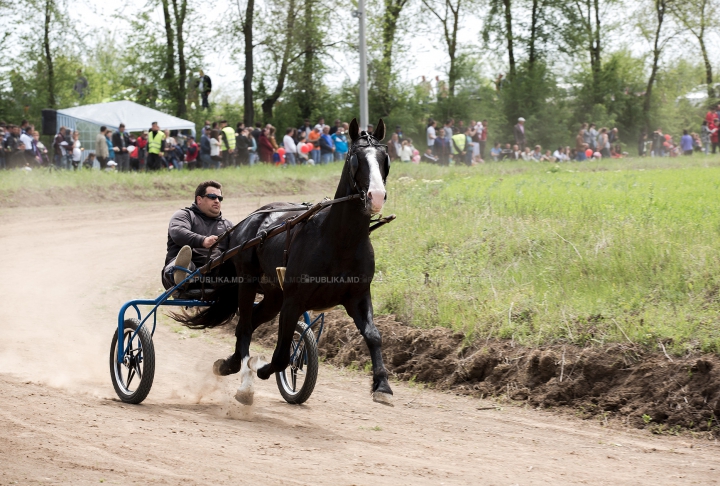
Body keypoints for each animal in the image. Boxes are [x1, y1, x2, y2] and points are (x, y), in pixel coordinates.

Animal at [179, 118, 394, 406]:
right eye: (355, 159)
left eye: (384, 158)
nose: (376, 196)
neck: (339, 241)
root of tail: (250, 219)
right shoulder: (294, 300)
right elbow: (281, 355)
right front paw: (262, 368)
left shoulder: (357, 296)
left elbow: (373, 335)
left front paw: (382, 385)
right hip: (248, 282)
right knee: (244, 326)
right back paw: (242, 377)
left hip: (273, 296)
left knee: (251, 322)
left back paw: (231, 364)